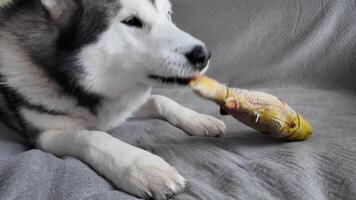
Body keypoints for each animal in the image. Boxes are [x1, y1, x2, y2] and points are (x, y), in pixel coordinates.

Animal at [0, 0, 225, 199]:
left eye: (168, 14)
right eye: (131, 21)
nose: (204, 55)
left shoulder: (122, 106)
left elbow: (160, 99)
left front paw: (198, 119)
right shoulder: (45, 136)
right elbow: (90, 136)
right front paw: (142, 167)